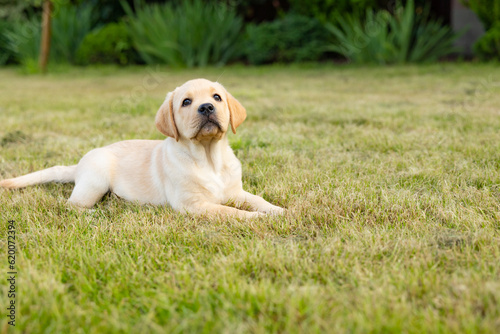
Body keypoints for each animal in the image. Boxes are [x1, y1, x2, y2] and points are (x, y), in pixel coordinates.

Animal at [0, 78, 286, 219]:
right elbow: (230, 212)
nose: (206, 107)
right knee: (71, 205)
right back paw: (96, 212)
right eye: (186, 102)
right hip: (95, 183)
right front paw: (258, 219)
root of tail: (78, 165)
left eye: (216, 97)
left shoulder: (235, 191)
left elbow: (257, 200)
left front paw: (279, 211)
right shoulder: (192, 204)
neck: (207, 157)